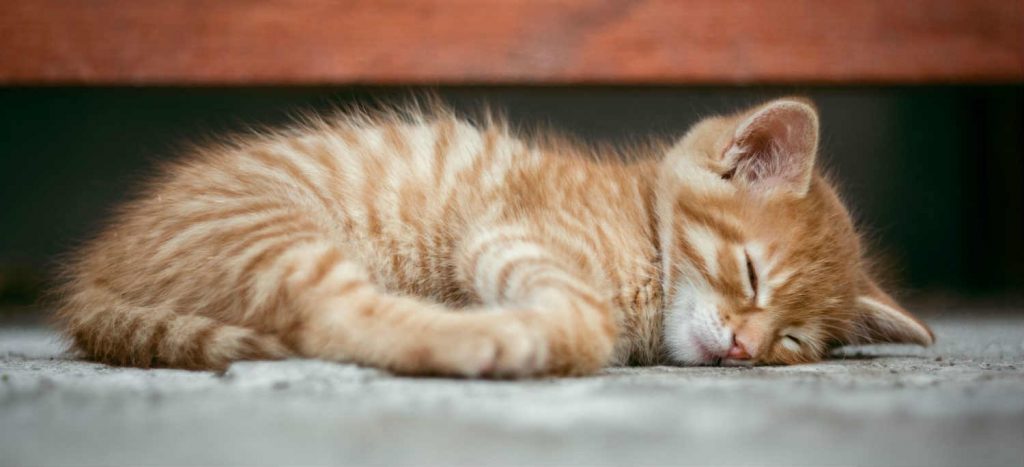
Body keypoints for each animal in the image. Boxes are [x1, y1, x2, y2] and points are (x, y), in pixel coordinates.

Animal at [56, 97, 937, 374]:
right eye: (751, 273)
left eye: (792, 339)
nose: (747, 348)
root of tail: (96, 273)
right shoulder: (506, 236)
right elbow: (584, 318)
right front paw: (550, 331)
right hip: (281, 236)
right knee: (334, 316)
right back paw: (480, 337)